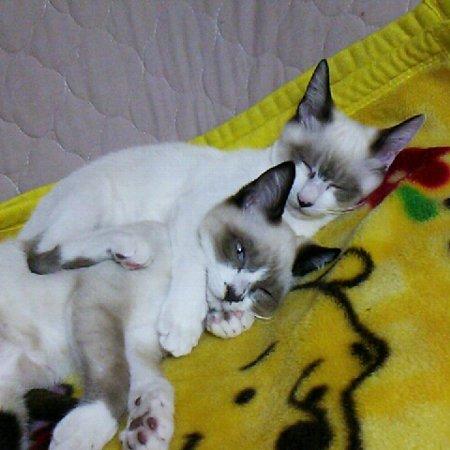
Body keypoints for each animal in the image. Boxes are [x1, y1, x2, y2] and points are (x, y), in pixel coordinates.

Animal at [0, 164, 333, 450]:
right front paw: (86, 429)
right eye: (239, 251)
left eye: (262, 291)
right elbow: (115, 376)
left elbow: (154, 385)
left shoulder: (138, 342)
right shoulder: (97, 304)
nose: (234, 294)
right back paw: (129, 249)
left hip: (9, 412)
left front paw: (147, 427)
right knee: (40, 255)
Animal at [19, 60, 423, 357]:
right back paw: (130, 249)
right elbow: (196, 267)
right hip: (95, 199)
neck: (291, 220)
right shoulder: (192, 213)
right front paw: (184, 325)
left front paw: (230, 318)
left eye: (337, 187)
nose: (305, 199)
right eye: (304, 164)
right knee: (43, 253)